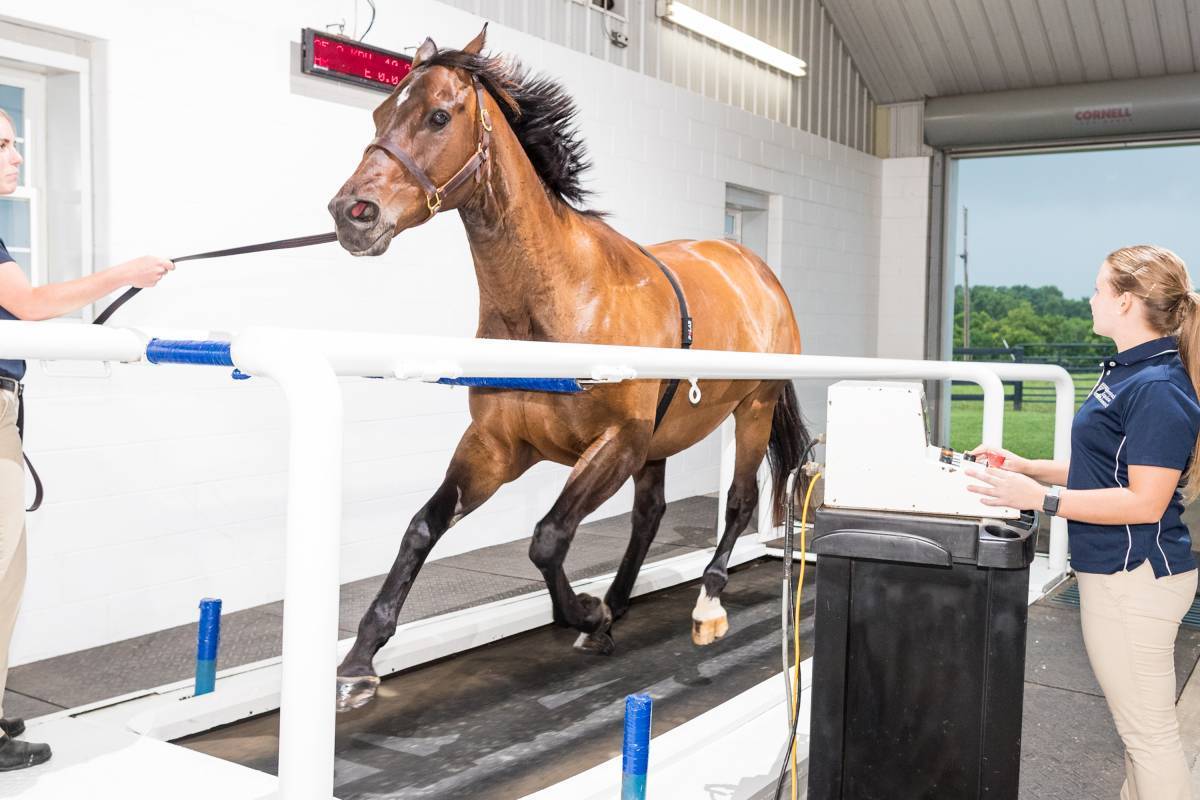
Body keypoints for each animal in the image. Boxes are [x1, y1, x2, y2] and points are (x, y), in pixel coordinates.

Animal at [324, 26, 811, 714]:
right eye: (378, 114)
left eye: (438, 116)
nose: (351, 212)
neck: (559, 300)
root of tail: (756, 269)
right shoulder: (496, 446)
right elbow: (423, 527)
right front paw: (361, 659)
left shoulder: (616, 442)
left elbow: (548, 537)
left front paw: (584, 612)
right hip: (659, 440)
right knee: (650, 514)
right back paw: (620, 601)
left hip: (751, 410)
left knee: (740, 502)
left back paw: (705, 601)